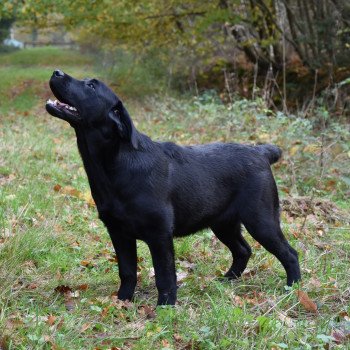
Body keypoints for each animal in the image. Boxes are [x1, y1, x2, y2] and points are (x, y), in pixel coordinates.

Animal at [45, 69, 300, 304]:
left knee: (290, 253)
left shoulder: (159, 234)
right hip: (223, 222)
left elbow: (165, 275)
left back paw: (293, 288)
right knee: (243, 250)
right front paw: (123, 301)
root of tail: (261, 152)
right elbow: (127, 271)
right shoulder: (118, 231)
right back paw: (227, 279)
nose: (56, 72)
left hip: (261, 219)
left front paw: (165, 306)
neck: (115, 164)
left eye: (91, 86)